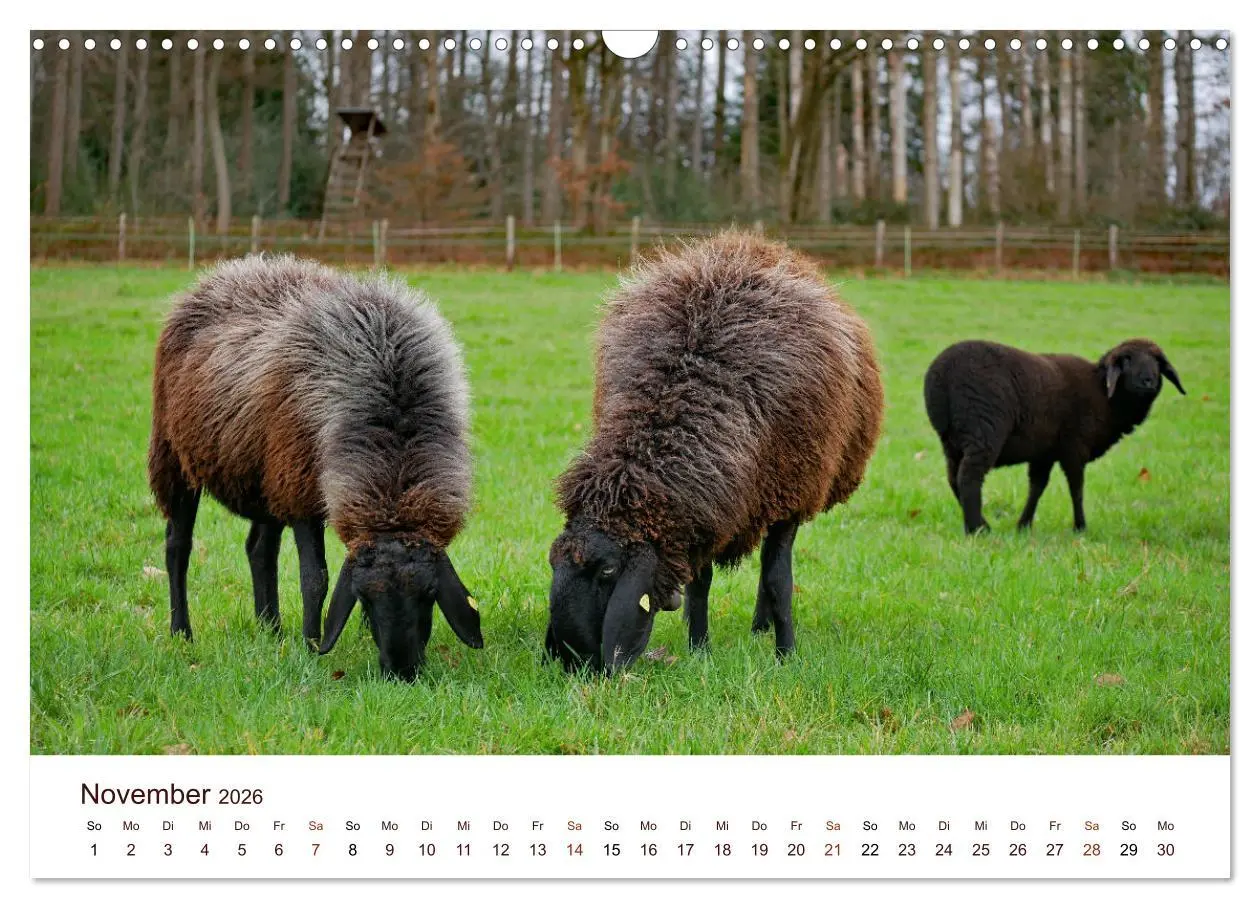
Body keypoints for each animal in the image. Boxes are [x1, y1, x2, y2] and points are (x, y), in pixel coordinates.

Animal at [147, 255, 482, 681]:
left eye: (429, 594)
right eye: (365, 597)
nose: (401, 672)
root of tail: (225, 272)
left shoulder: (292, 483)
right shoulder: (301, 494)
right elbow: (315, 579)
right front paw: (311, 646)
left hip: (268, 476)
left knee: (259, 548)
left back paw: (270, 629)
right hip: (175, 458)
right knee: (178, 546)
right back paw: (182, 632)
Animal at [545, 232, 884, 673]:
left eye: (607, 571)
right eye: (553, 563)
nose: (574, 661)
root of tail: (749, 243)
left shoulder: (789, 495)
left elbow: (778, 580)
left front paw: (786, 655)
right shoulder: (710, 508)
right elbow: (701, 581)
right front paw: (699, 647)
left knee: (774, 566)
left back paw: (763, 626)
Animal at [923, 338, 1186, 535]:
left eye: (1158, 361)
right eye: (1127, 360)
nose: (1148, 381)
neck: (1104, 396)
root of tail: (942, 376)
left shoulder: (1045, 452)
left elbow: (1037, 486)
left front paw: (1023, 525)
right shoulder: (1075, 446)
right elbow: (1076, 488)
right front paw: (1080, 527)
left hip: (952, 439)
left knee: (953, 478)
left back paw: (981, 524)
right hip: (983, 429)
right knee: (968, 477)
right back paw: (977, 529)